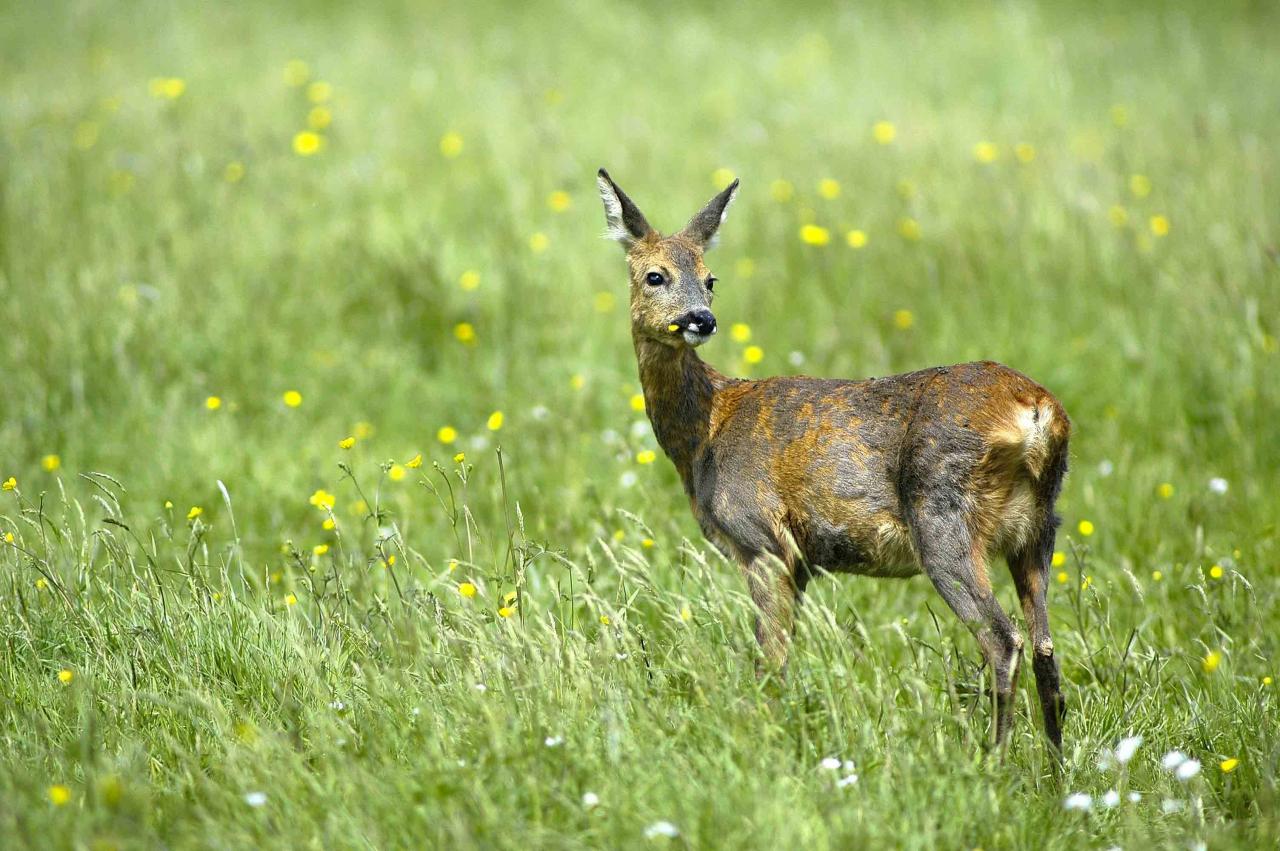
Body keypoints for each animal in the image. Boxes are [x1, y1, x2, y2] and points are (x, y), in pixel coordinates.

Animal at [596, 168, 1070, 747]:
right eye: (655, 276)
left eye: (710, 279)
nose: (700, 319)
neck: (706, 433)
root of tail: (1040, 414)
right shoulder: (799, 562)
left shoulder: (762, 539)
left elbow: (770, 662)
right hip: (1038, 528)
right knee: (1046, 649)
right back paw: (1052, 767)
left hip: (943, 518)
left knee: (1004, 642)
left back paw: (990, 760)